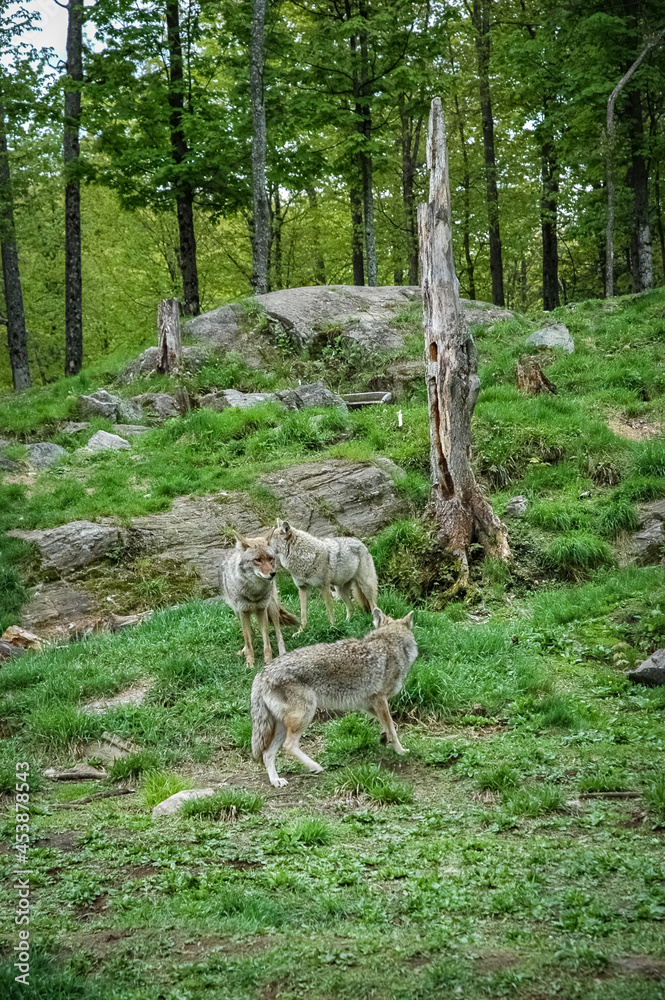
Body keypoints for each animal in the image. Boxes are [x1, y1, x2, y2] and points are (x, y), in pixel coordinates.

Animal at [219, 531, 298, 668]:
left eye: (270, 558)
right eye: (258, 560)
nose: (273, 573)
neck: (254, 592)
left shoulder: (262, 611)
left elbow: (267, 642)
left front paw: (269, 661)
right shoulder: (243, 612)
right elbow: (248, 640)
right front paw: (249, 664)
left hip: (272, 608)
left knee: (278, 633)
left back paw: (282, 654)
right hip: (237, 613)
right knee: (249, 633)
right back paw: (244, 650)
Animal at [251, 608, 417, 787]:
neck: (389, 644)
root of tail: (261, 675)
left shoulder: (369, 704)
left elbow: (389, 725)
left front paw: (385, 738)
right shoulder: (379, 699)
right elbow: (393, 728)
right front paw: (401, 750)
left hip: (283, 725)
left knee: (267, 753)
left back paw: (276, 780)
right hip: (305, 715)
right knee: (289, 746)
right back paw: (315, 766)